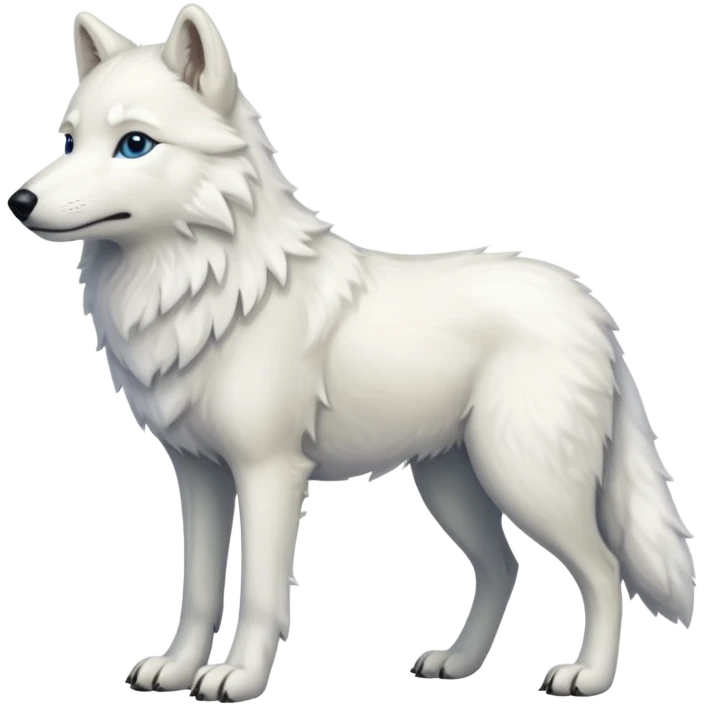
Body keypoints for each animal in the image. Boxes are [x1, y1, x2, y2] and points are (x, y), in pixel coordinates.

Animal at [7, 5, 695, 702]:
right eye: (69, 141)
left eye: (135, 144)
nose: (19, 201)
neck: (208, 287)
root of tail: (592, 308)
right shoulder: (199, 473)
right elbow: (198, 588)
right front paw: (175, 669)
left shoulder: (269, 473)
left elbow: (258, 591)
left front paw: (238, 677)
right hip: (452, 483)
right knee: (504, 567)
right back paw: (456, 663)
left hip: (525, 477)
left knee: (603, 568)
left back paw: (588, 676)